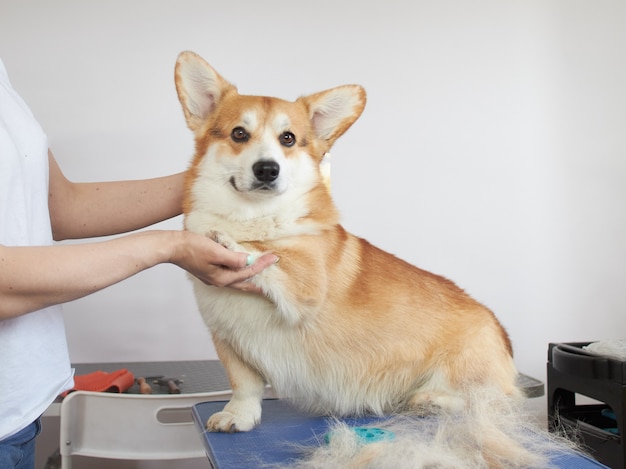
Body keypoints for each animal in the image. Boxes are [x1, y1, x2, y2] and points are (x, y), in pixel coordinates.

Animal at [174, 49, 544, 466]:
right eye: (239, 133)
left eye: (288, 138)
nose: (268, 169)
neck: (254, 217)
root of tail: (500, 331)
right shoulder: (228, 339)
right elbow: (245, 385)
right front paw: (239, 416)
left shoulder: (305, 285)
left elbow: (268, 253)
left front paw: (228, 241)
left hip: (469, 376)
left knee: (492, 403)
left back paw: (431, 400)